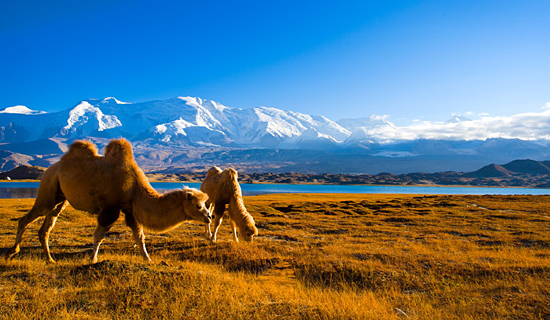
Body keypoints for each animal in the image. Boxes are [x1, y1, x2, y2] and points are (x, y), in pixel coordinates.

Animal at [6, 139, 213, 262]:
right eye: (198, 205)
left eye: (204, 205)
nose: (209, 217)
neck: (135, 185)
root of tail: (51, 168)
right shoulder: (110, 208)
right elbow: (99, 235)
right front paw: (93, 259)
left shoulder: (129, 208)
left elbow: (139, 235)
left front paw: (147, 259)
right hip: (48, 188)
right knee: (27, 218)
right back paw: (12, 252)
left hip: (60, 198)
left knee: (46, 226)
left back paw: (49, 259)